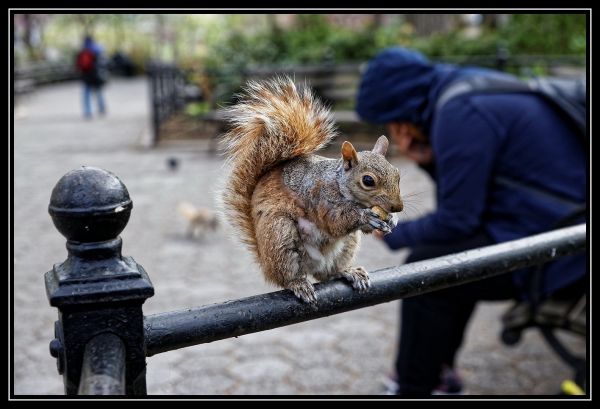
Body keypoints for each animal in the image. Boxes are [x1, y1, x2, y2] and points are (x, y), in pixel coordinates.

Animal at [220, 76, 404, 302]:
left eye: (397, 174)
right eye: (368, 181)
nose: (398, 207)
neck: (338, 184)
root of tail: (265, 262)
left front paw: (392, 220)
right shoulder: (319, 197)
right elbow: (334, 222)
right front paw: (365, 216)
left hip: (346, 246)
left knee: (328, 273)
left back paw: (349, 272)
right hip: (280, 236)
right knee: (287, 277)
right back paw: (298, 284)